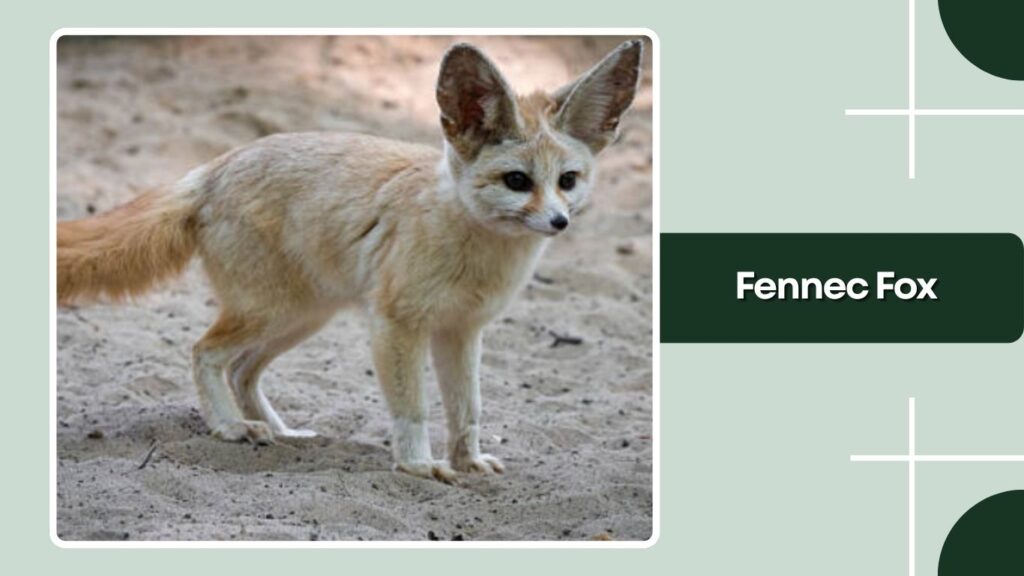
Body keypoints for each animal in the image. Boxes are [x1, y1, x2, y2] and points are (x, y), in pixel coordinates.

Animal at [57, 39, 644, 482]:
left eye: (568, 181)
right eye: (517, 181)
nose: (559, 222)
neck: (475, 247)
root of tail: (214, 166)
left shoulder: (461, 331)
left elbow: (467, 410)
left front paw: (468, 462)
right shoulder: (398, 326)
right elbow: (413, 409)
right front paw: (417, 466)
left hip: (302, 317)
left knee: (243, 370)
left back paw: (281, 432)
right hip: (270, 312)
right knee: (205, 353)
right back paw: (230, 428)